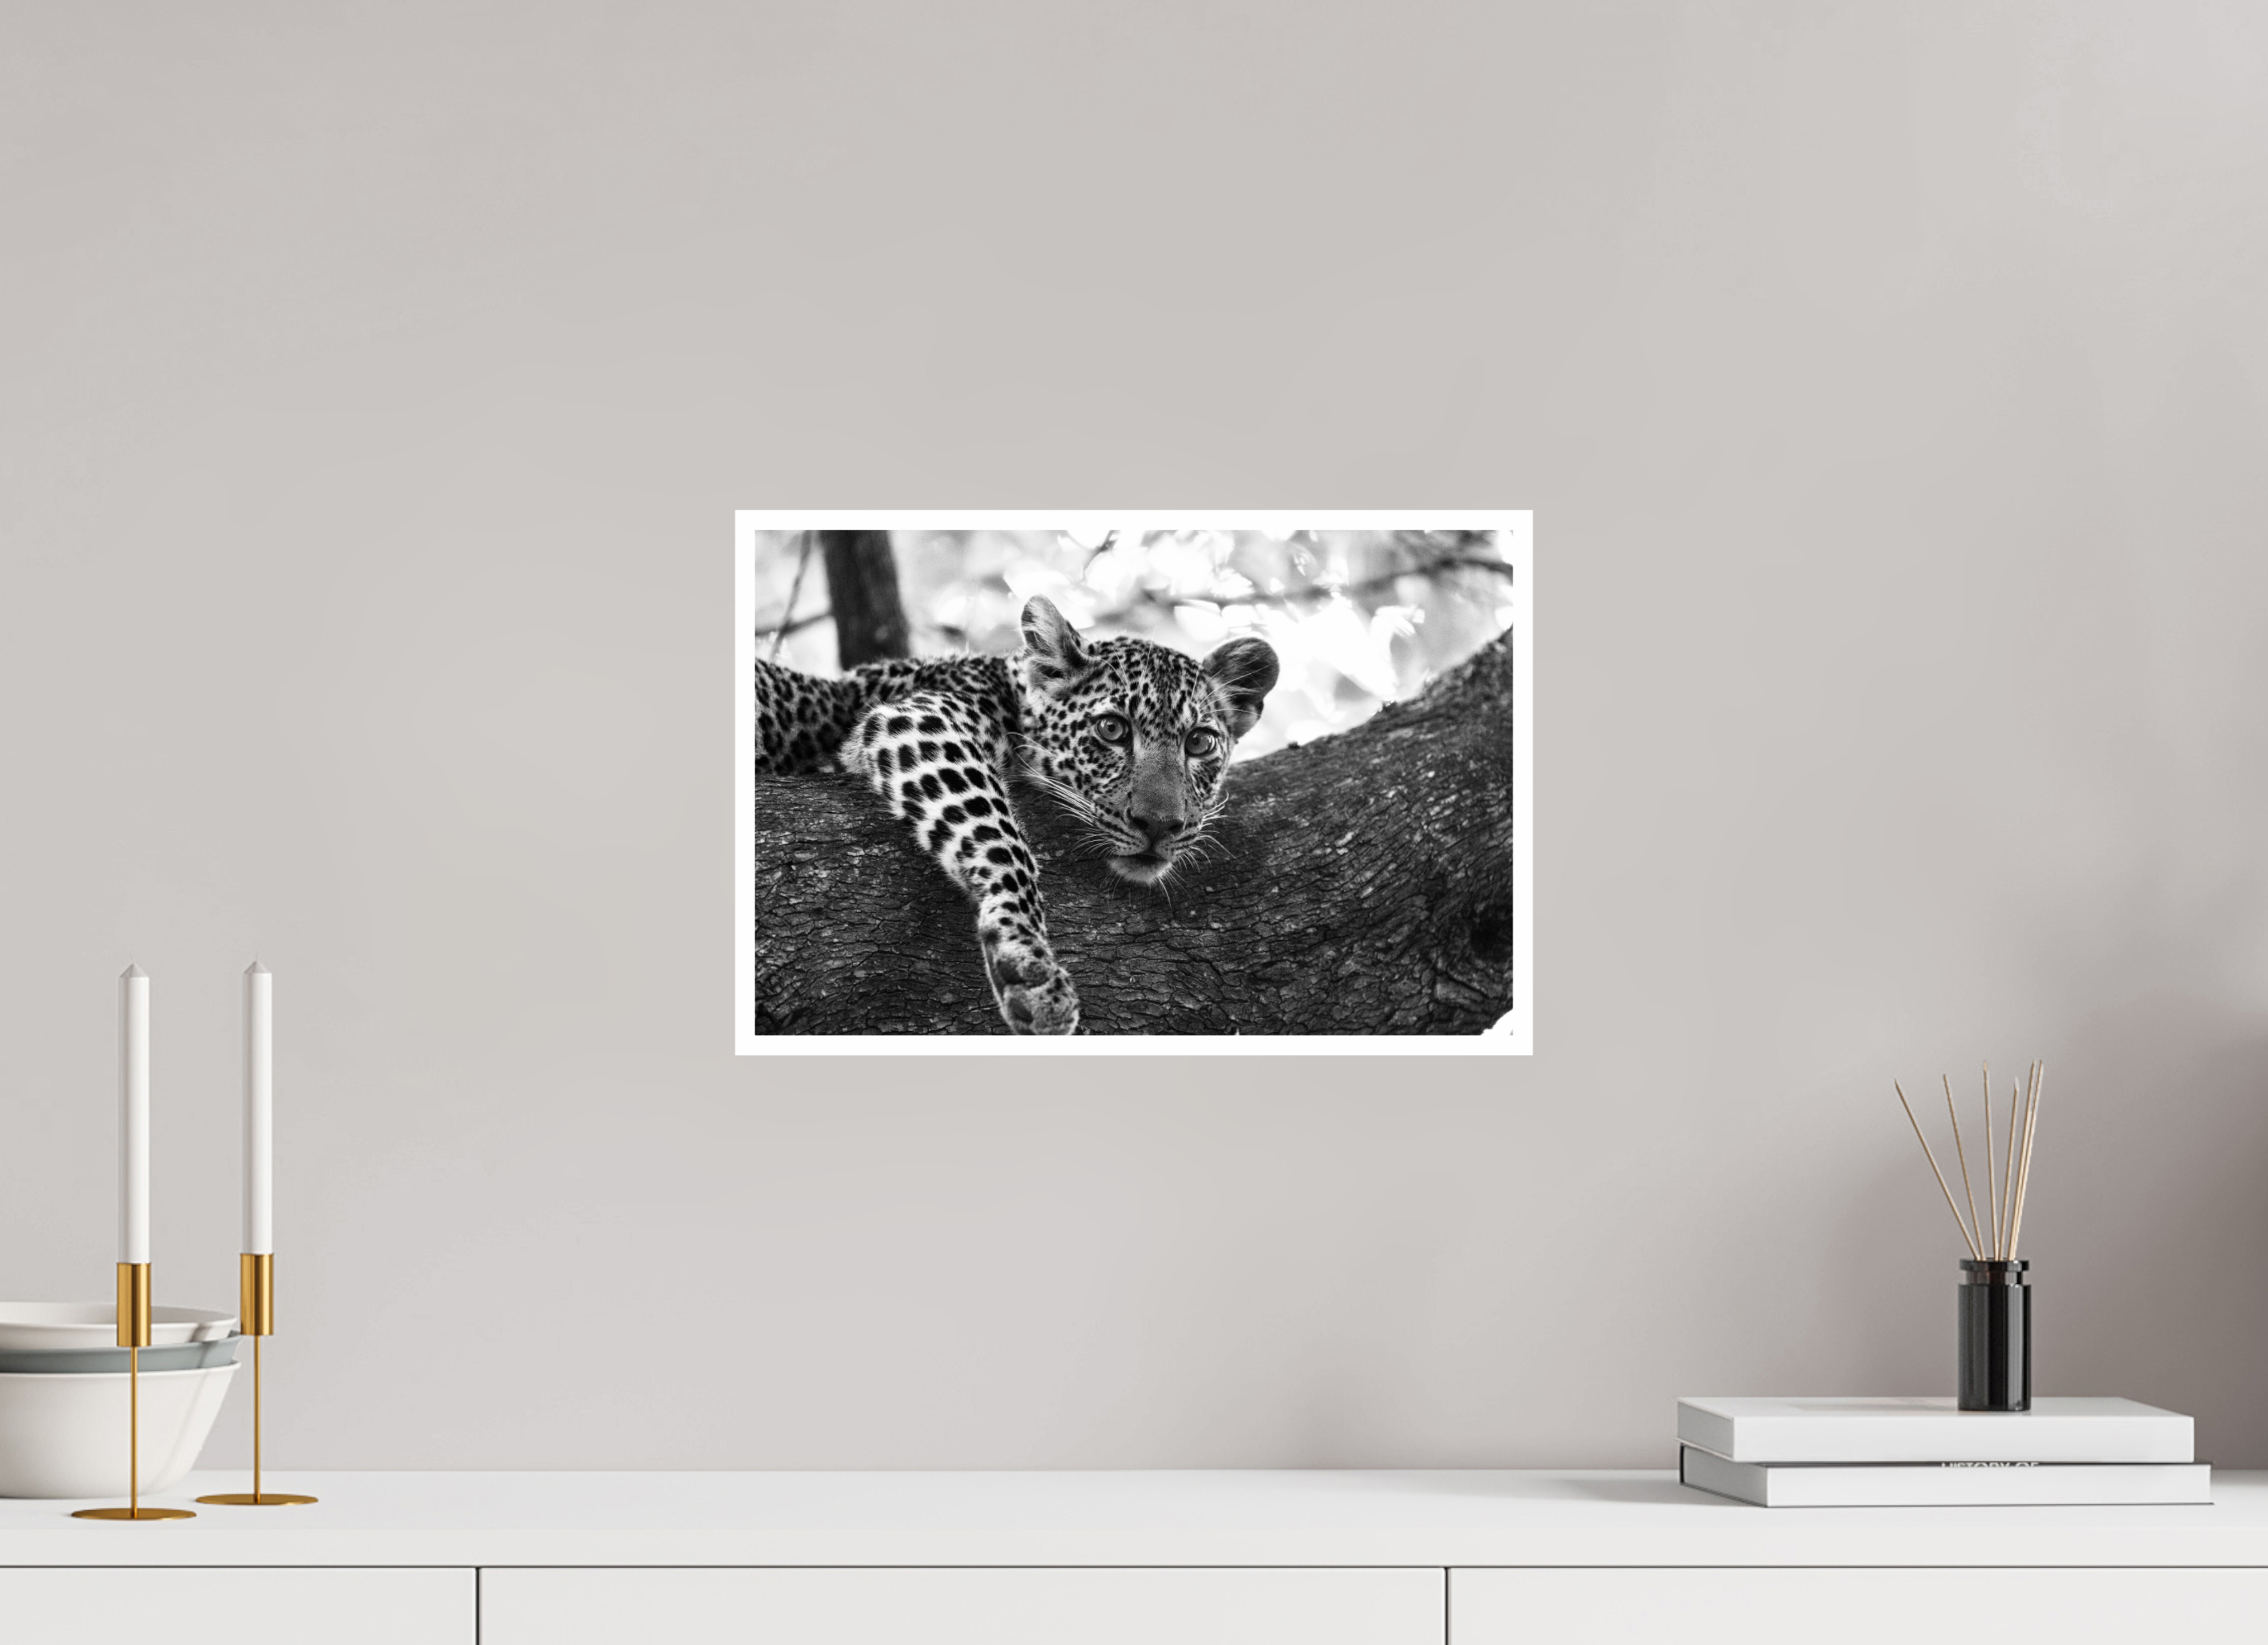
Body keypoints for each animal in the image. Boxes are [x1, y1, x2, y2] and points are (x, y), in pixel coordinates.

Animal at [752, 596, 1279, 1036]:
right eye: (1112, 730)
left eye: (1200, 742)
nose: (1160, 824)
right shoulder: (920, 718)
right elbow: (1000, 837)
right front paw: (1027, 957)